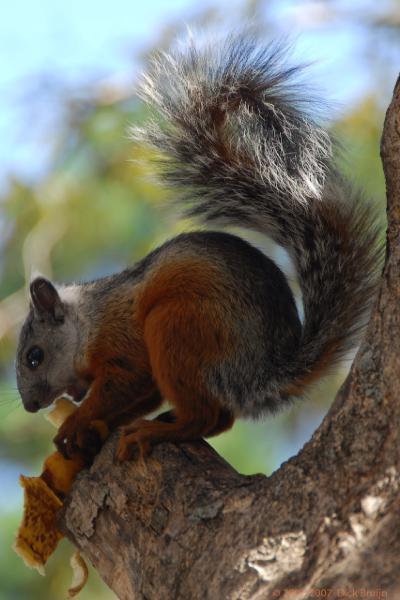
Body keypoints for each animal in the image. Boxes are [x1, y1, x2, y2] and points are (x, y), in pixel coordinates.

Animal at [15, 35, 382, 462]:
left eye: (34, 356)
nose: (30, 406)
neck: (89, 322)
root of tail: (263, 375)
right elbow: (136, 398)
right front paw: (91, 427)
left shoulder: (123, 342)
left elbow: (121, 385)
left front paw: (77, 421)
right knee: (219, 419)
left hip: (178, 329)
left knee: (204, 418)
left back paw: (157, 432)